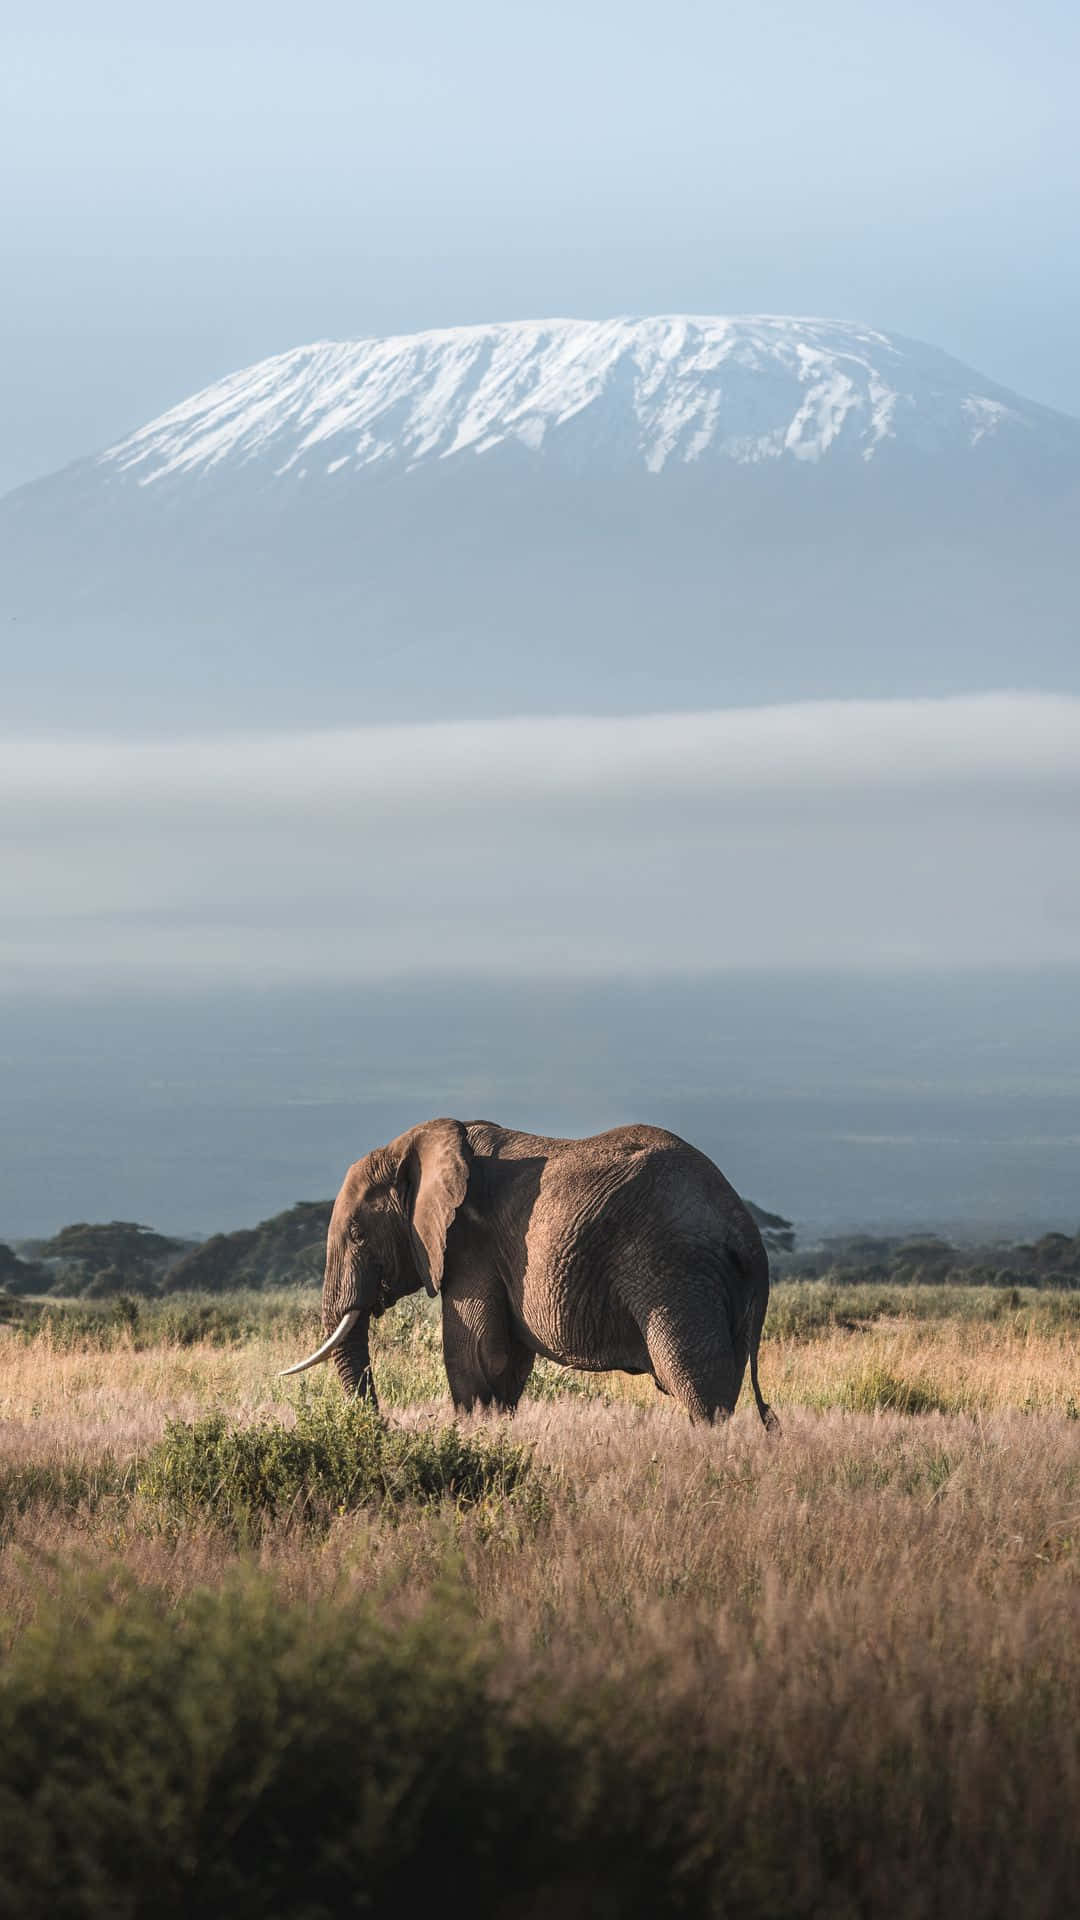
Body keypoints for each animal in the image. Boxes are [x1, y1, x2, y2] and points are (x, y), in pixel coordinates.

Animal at [282, 1117, 778, 1428]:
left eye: (357, 1234)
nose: (383, 1426)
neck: (414, 1144)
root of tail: (745, 1230)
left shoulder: (470, 1245)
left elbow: (476, 1354)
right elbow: (506, 1362)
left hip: (673, 1272)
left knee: (696, 1383)